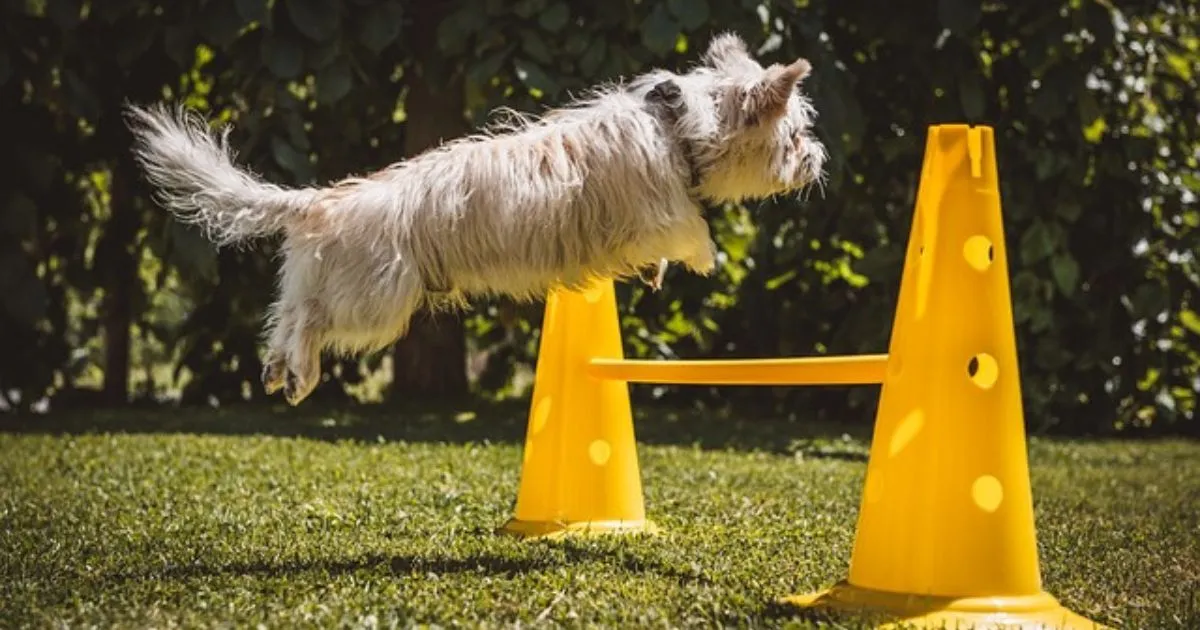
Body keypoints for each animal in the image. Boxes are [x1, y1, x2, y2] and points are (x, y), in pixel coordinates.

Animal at [129, 33, 825, 403]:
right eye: (795, 134)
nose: (817, 160)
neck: (681, 125)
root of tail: (323, 202)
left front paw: (655, 273)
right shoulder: (662, 212)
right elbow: (694, 234)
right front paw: (706, 259)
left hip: (330, 281)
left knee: (285, 313)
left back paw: (280, 369)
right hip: (377, 302)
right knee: (312, 320)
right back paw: (300, 372)